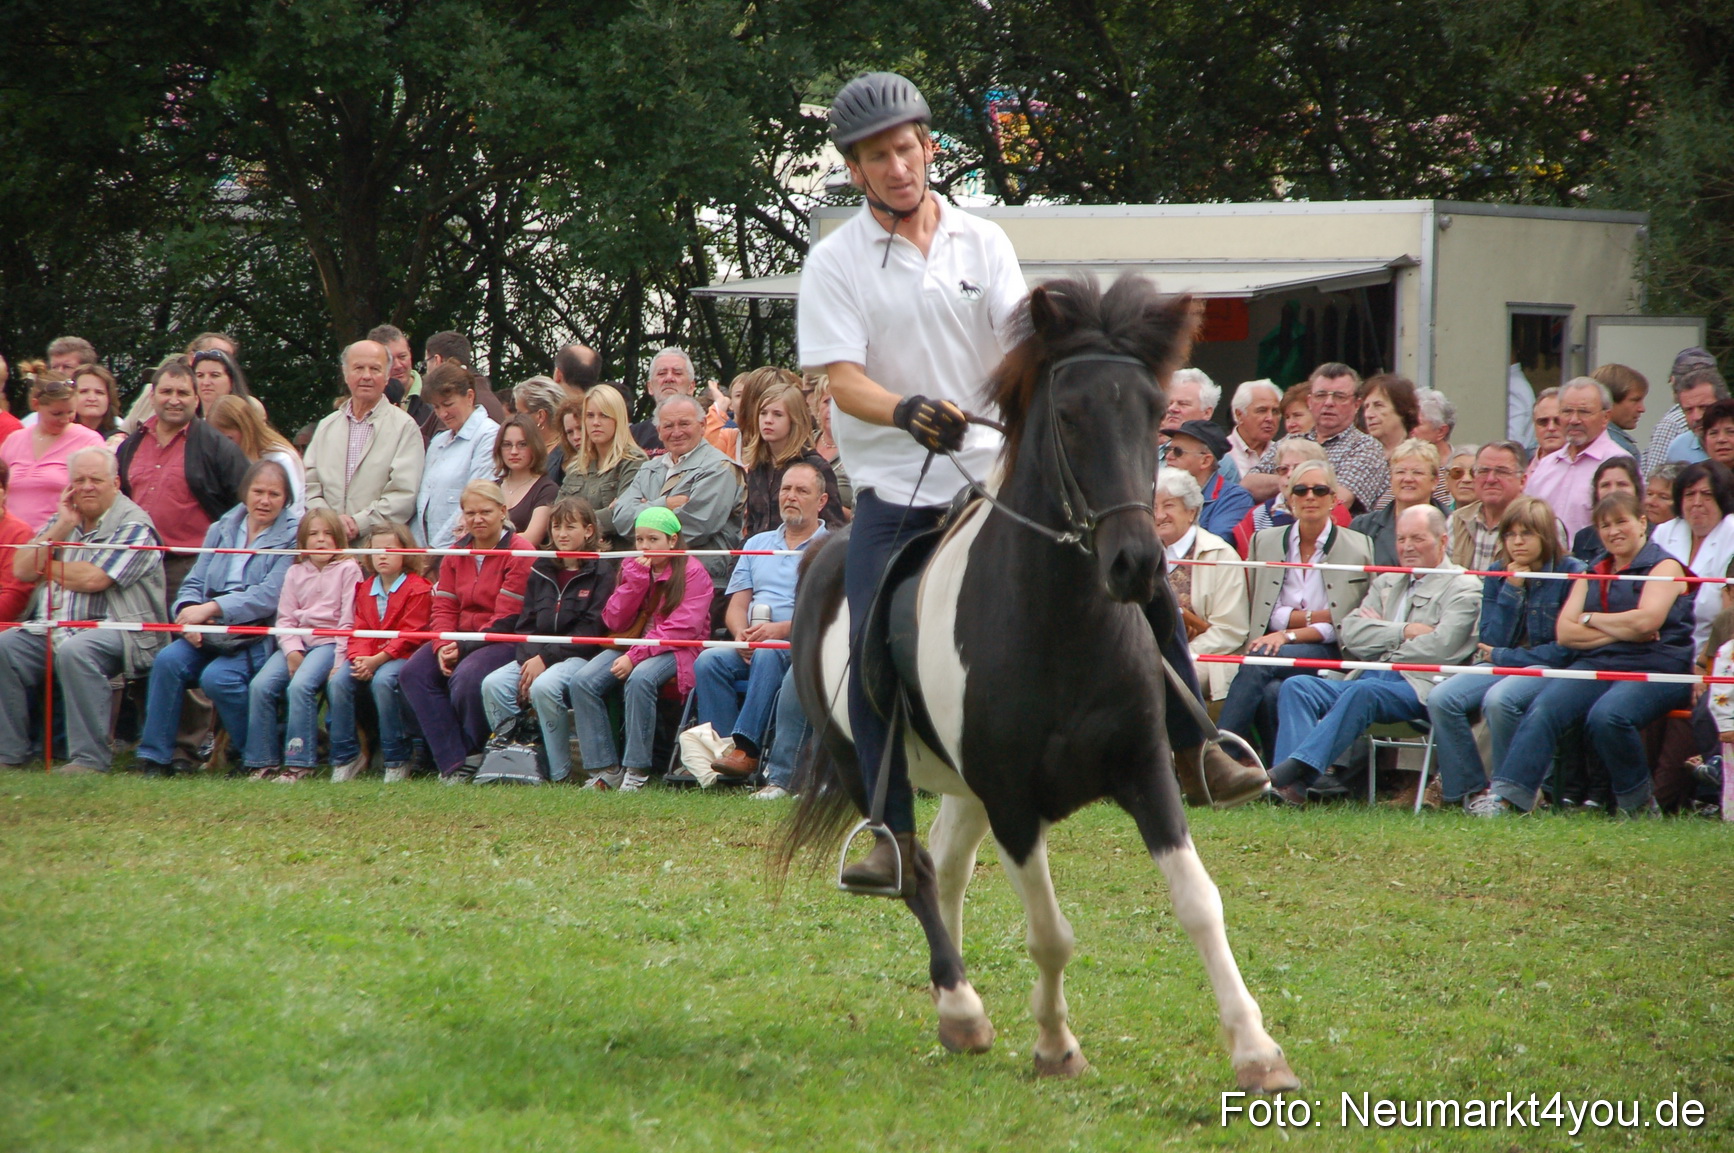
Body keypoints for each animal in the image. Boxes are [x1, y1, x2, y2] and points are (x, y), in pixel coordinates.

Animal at [779, 275, 1298, 1090]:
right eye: (1067, 414)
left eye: (1156, 412)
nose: (1137, 564)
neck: (1059, 626)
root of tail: (818, 555)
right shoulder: (1014, 801)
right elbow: (1050, 932)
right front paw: (1056, 1045)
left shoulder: (1145, 772)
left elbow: (1198, 902)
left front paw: (1257, 1050)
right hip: (866, 763)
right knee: (915, 868)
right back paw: (960, 1005)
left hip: (964, 789)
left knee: (947, 868)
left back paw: (952, 1004)